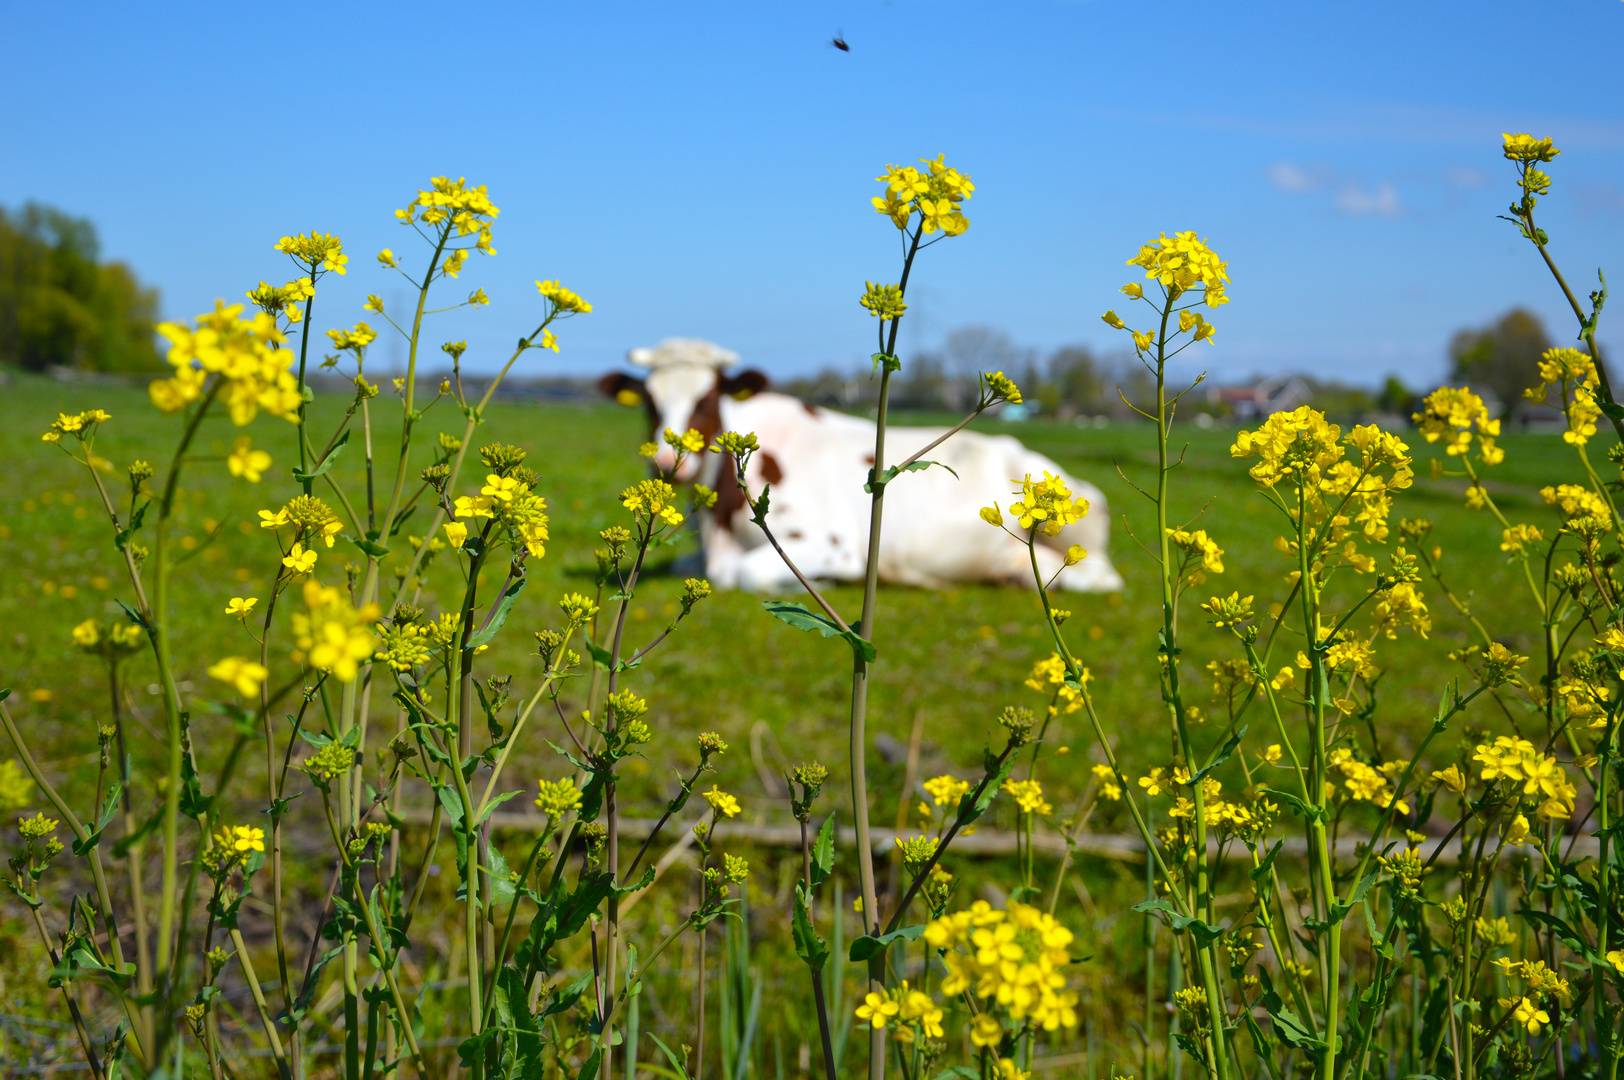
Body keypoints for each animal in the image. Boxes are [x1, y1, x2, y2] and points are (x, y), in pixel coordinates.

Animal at [604, 334, 1123, 591]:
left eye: (708, 399)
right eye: (647, 400)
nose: (668, 460)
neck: (719, 524)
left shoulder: (830, 543)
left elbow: (748, 575)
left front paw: (818, 584)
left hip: (1077, 530)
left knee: (1098, 577)